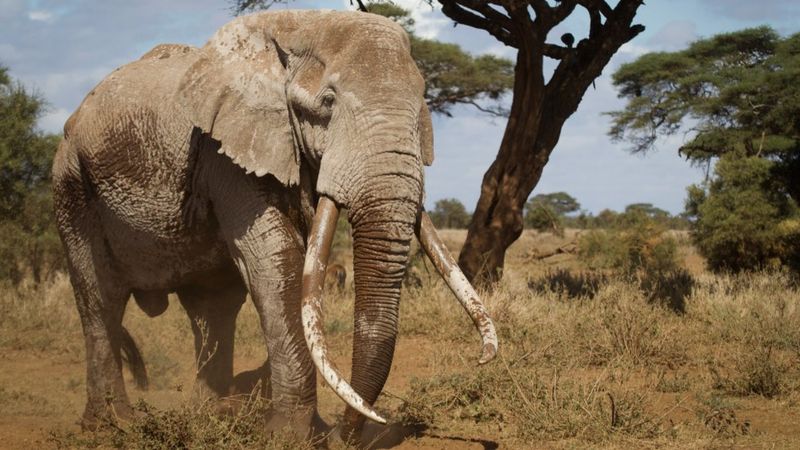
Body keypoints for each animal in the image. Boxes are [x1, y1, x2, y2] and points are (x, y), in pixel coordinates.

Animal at [53, 8, 496, 442]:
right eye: (327, 102)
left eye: (421, 106)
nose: (345, 436)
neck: (301, 23)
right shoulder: (223, 151)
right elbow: (276, 258)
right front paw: (292, 437)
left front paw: (307, 433)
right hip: (72, 185)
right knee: (101, 298)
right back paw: (111, 426)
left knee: (212, 307)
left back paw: (207, 415)